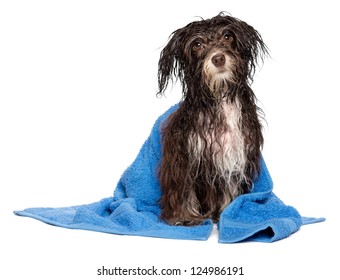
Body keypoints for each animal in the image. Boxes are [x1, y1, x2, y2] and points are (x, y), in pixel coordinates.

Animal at [156, 13, 268, 226]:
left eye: (227, 36)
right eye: (197, 44)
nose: (218, 58)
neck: (220, 96)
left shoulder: (232, 156)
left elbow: (228, 190)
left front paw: (227, 213)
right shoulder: (185, 157)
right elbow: (184, 189)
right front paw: (184, 217)